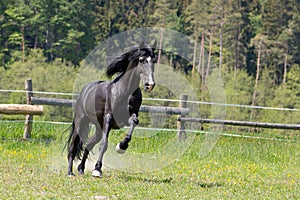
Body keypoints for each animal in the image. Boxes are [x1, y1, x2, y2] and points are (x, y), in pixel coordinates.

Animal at [66, 41, 157, 177]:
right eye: (141, 60)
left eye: (154, 61)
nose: (149, 85)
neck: (125, 91)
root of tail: (86, 89)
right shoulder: (108, 118)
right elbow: (104, 145)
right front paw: (97, 170)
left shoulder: (128, 117)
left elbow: (134, 122)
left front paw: (122, 146)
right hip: (80, 123)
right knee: (73, 146)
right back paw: (70, 172)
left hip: (99, 129)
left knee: (89, 145)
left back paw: (81, 169)